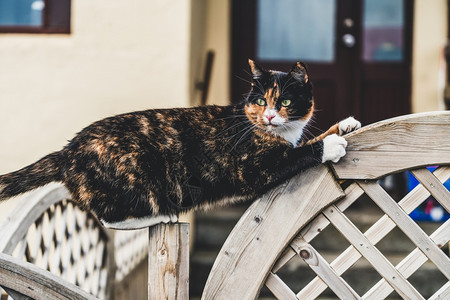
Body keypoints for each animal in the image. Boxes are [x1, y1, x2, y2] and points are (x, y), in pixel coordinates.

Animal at [0, 61, 360, 230]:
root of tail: (68, 150)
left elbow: (307, 138)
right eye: (260, 100)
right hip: (136, 171)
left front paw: (345, 125)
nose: (270, 116)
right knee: (109, 216)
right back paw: (160, 217)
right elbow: (299, 153)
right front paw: (330, 145)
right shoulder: (254, 167)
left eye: (284, 101)